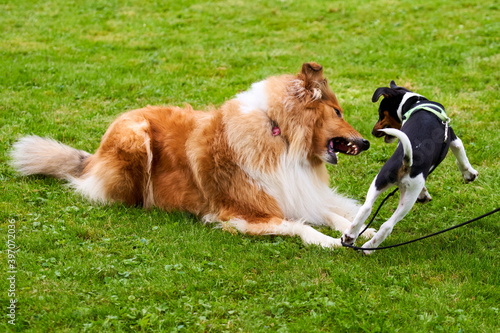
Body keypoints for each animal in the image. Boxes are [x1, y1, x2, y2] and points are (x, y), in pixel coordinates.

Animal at [342, 81, 478, 253]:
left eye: (381, 113)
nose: (373, 132)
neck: (415, 102)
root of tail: (406, 161)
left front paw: (424, 194)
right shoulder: (454, 139)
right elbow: (461, 157)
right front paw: (470, 175)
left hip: (380, 179)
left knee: (365, 208)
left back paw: (349, 236)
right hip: (408, 197)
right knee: (387, 226)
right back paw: (368, 248)